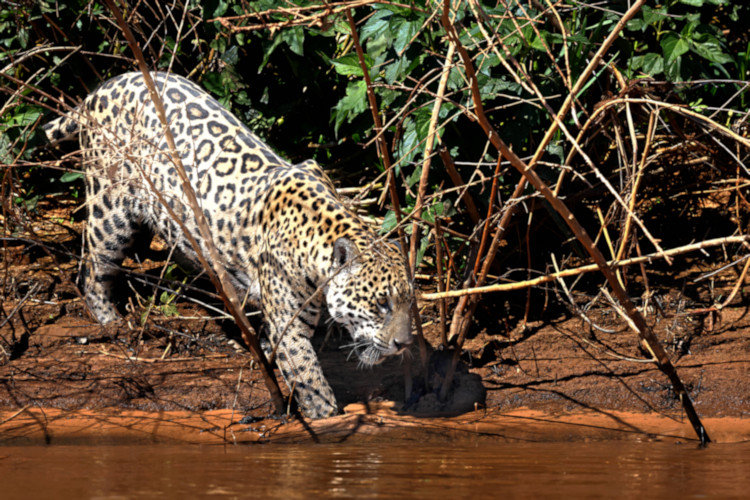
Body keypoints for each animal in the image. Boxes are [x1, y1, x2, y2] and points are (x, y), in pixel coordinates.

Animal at [43, 71, 414, 419]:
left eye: (409, 302)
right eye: (381, 303)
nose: (404, 344)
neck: (316, 238)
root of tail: (102, 88)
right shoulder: (290, 326)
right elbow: (310, 380)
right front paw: (327, 419)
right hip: (109, 209)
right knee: (91, 270)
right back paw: (112, 322)